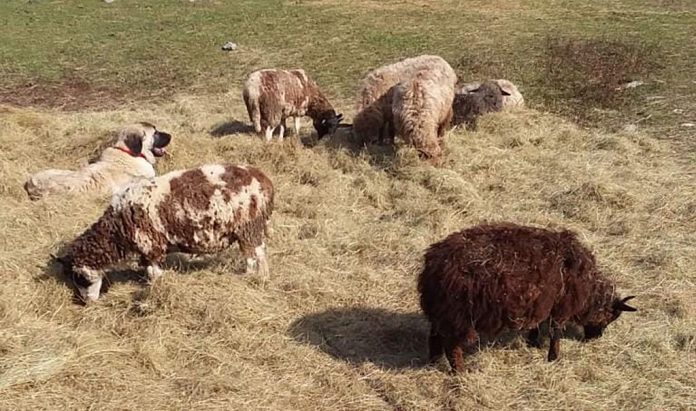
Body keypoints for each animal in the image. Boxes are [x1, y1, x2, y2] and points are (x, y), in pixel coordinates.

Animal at [53, 164, 274, 303]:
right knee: (254, 254)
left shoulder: (151, 246)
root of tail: (264, 180)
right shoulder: (146, 250)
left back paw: (256, 277)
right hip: (248, 230)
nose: (86, 302)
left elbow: (154, 273)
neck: (118, 229)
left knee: (256, 256)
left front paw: (155, 290)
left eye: (79, 277)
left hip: (249, 227)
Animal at [418, 223, 636, 372]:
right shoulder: (561, 307)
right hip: (458, 315)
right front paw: (553, 358)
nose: (594, 339)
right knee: (452, 347)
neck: (589, 290)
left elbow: (536, 325)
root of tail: (433, 264)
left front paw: (534, 343)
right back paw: (460, 372)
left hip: (441, 311)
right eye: (610, 317)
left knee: (434, 337)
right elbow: (555, 333)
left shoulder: (538, 303)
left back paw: (434, 362)